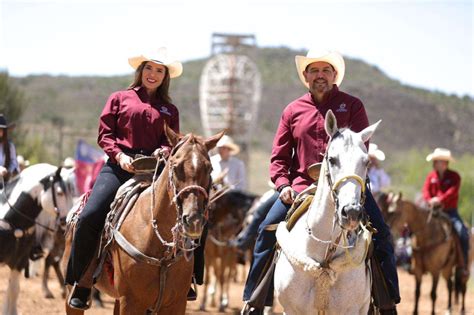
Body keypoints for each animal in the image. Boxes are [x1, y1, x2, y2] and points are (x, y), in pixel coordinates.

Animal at [63, 124, 224, 314]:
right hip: (73, 293)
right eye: (175, 167)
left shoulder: (176, 304)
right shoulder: (131, 302)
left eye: (209, 168)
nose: (193, 220)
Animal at [274, 110, 382, 314]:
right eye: (332, 159)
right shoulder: (291, 309)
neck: (324, 258)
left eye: (366, 162)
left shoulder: (352, 310)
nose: (352, 212)